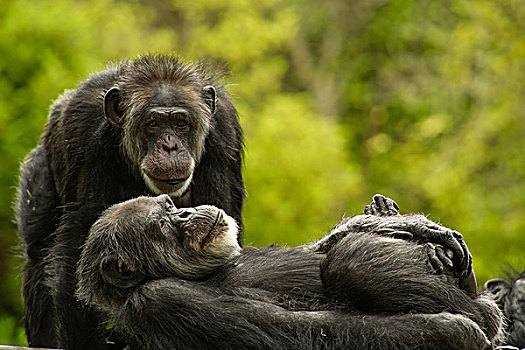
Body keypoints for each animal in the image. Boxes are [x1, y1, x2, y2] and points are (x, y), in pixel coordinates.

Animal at [15, 54, 245, 350]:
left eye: (181, 123)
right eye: (153, 123)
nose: (170, 146)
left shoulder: (224, 134)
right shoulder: (83, 130)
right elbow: (76, 244)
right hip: (37, 170)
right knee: (38, 247)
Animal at [74, 194, 504, 350]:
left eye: (168, 205)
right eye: (163, 224)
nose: (184, 212)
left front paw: (400, 222)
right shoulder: (158, 301)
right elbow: (293, 330)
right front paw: (452, 333)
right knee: (348, 263)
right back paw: (479, 314)